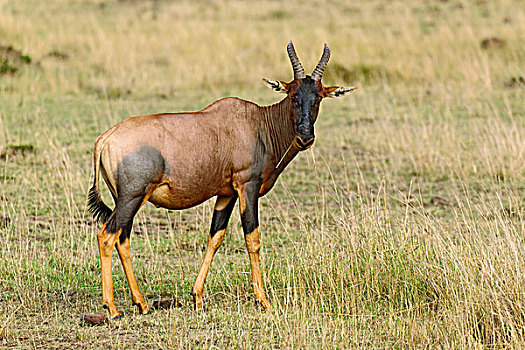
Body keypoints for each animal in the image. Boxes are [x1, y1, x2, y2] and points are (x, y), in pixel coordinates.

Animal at [87, 41, 356, 318]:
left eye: (318, 98)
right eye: (293, 96)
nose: (305, 138)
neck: (257, 123)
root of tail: (106, 138)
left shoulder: (226, 194)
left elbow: (215, 237)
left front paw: (197, 297)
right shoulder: (247, 187)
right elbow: (253, 238)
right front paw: (263, 300)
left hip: (129, 200)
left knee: (122, 239)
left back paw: (141, 303)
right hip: (132, 197)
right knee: (106, 236)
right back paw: (112, 308)